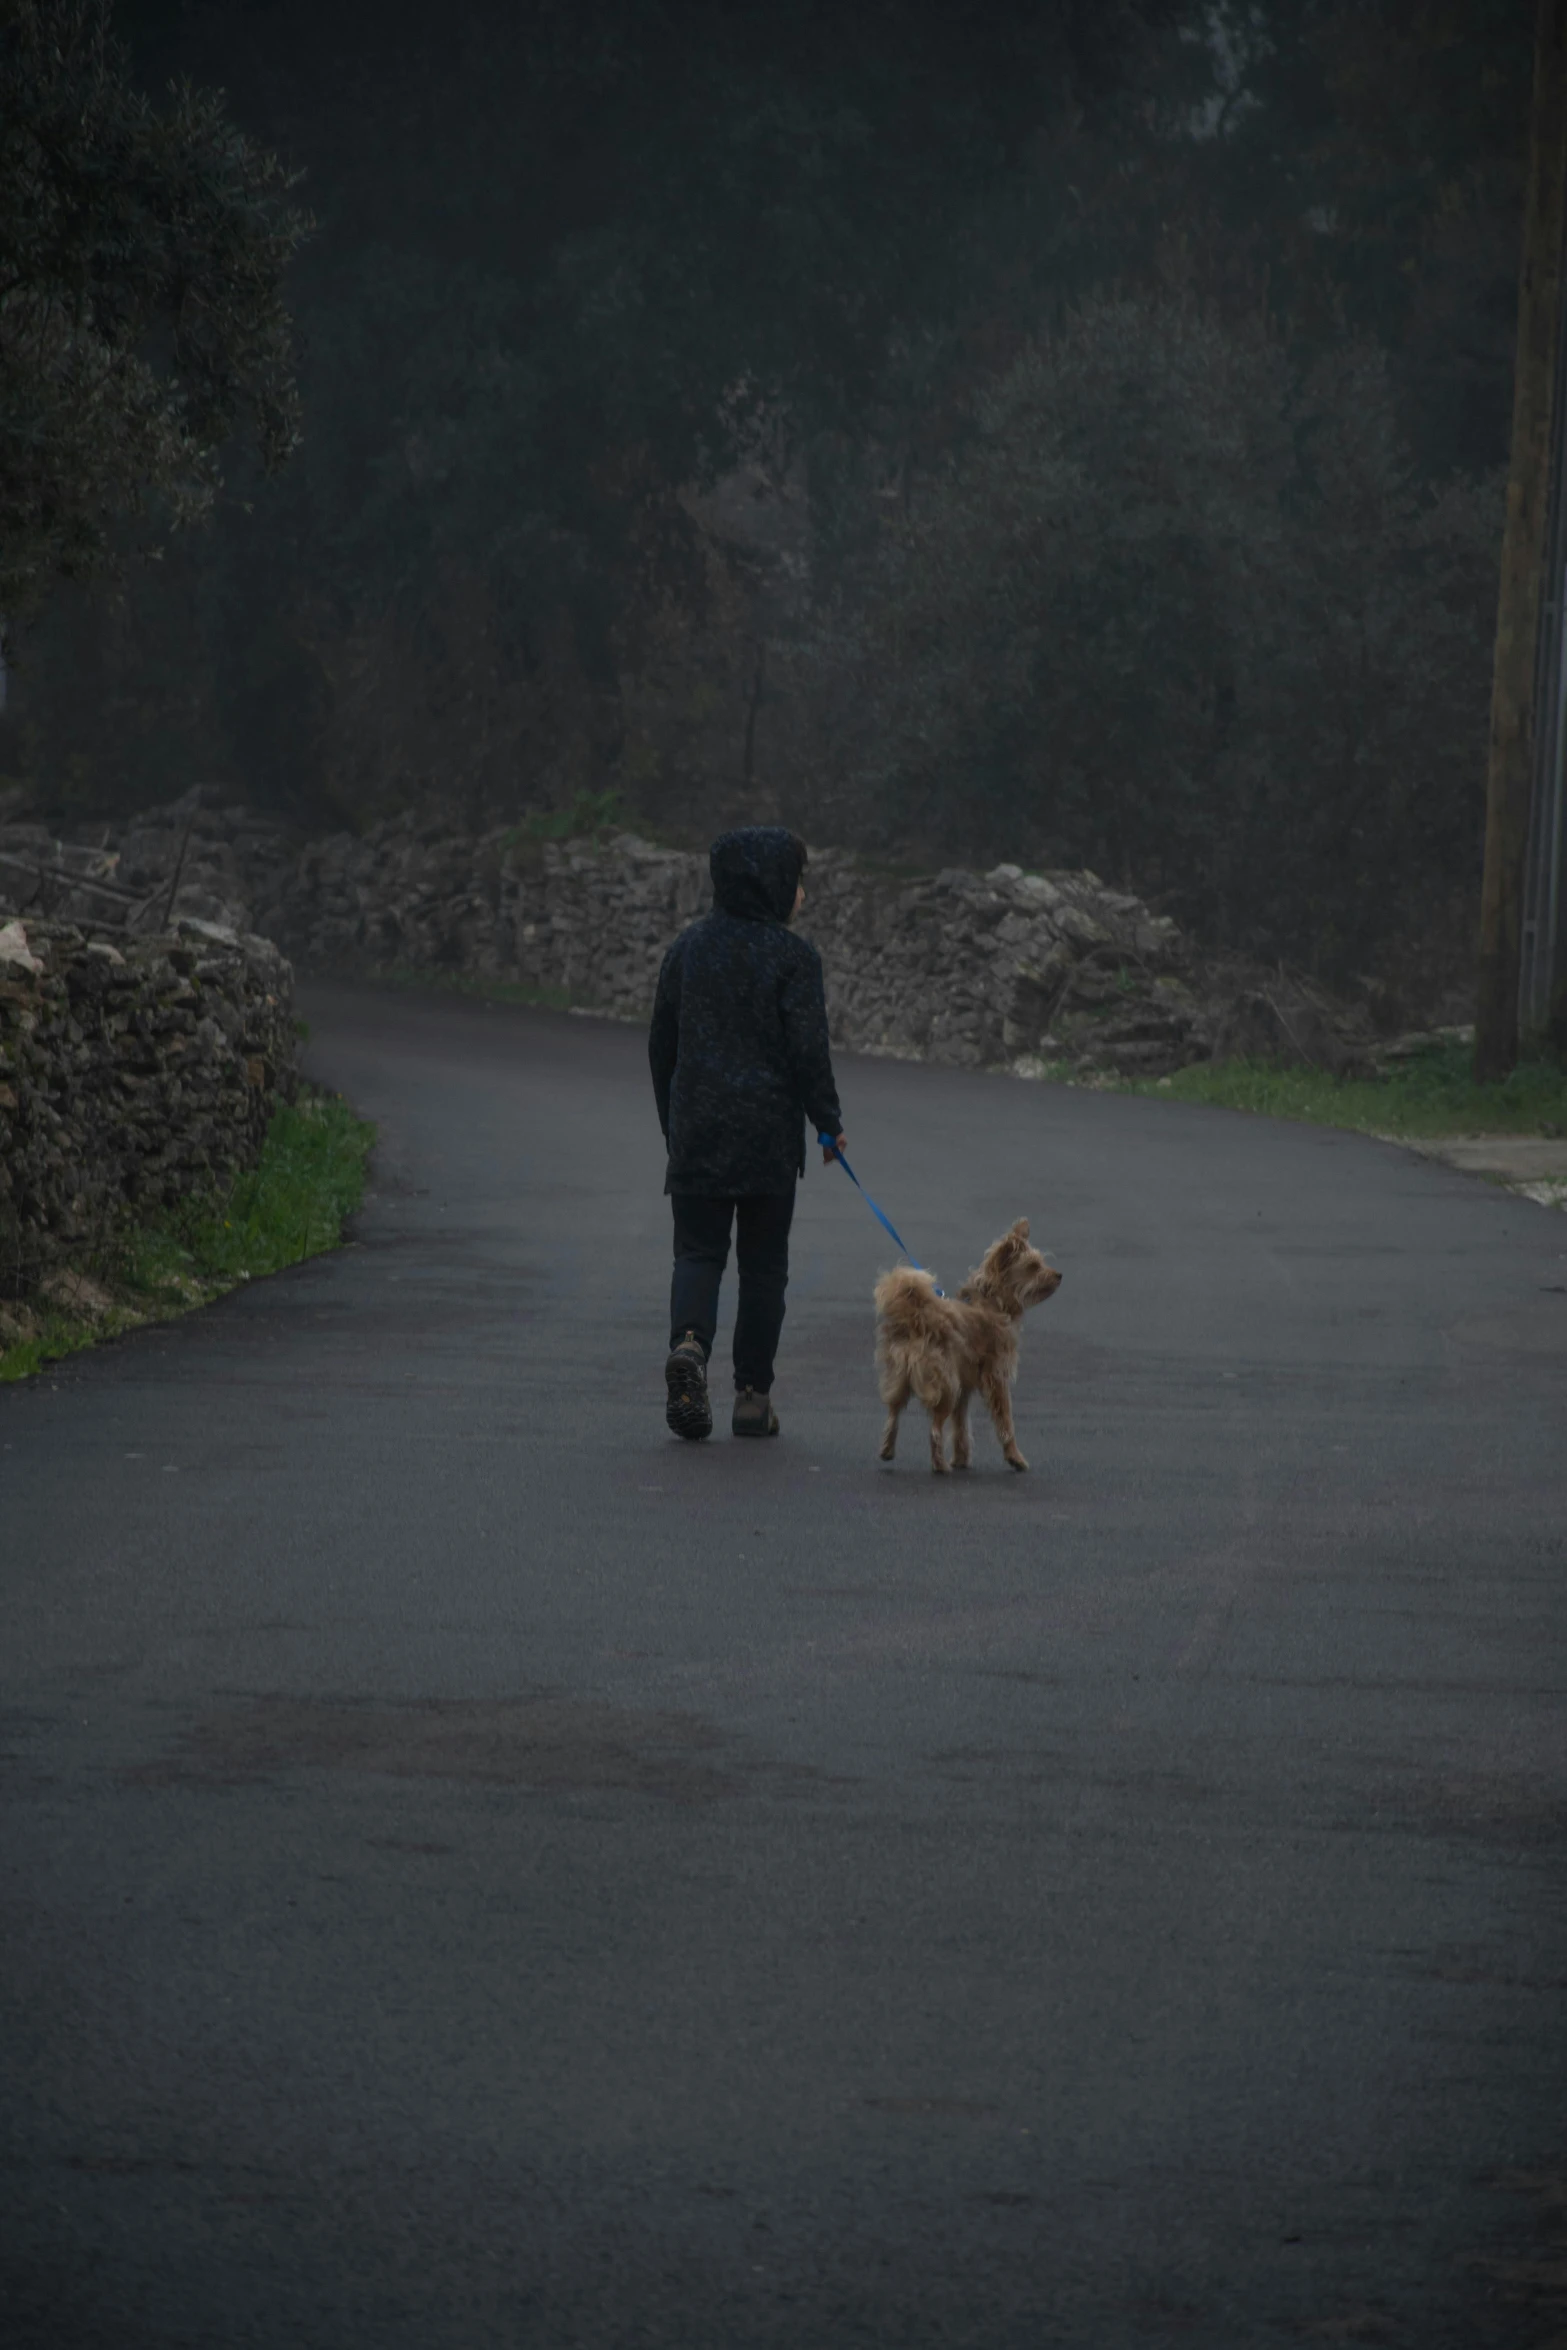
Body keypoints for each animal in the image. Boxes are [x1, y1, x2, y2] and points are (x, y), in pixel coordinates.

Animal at [878, 1222, 1061, 1475]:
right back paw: (940, 1466)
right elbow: (1005, 1423)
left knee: (893, 1416)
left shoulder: (964, 1388)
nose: (1059, 1275)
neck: (993, 1302)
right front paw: (1015, 1458)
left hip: (901, 1379)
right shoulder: (996, 1379)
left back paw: (888, 1451)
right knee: (934, 1429)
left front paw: (961, 1458)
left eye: (1040, 1263)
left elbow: (961, 1426)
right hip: (946, 1386)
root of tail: (918, 1320)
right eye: (1033, 1267)